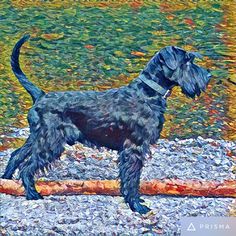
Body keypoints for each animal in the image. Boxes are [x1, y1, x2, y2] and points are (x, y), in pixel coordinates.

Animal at [2, 35, 211, 214]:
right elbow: (132, 178)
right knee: (27, 167)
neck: (147, 93)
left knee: (16, 155)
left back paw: (6, 181)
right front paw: (136, 205)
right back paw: (32, 194)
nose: (208, 76)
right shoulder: (134, 148)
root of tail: (40, 95)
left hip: (38, 138)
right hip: (50, 143)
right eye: (188, 61)